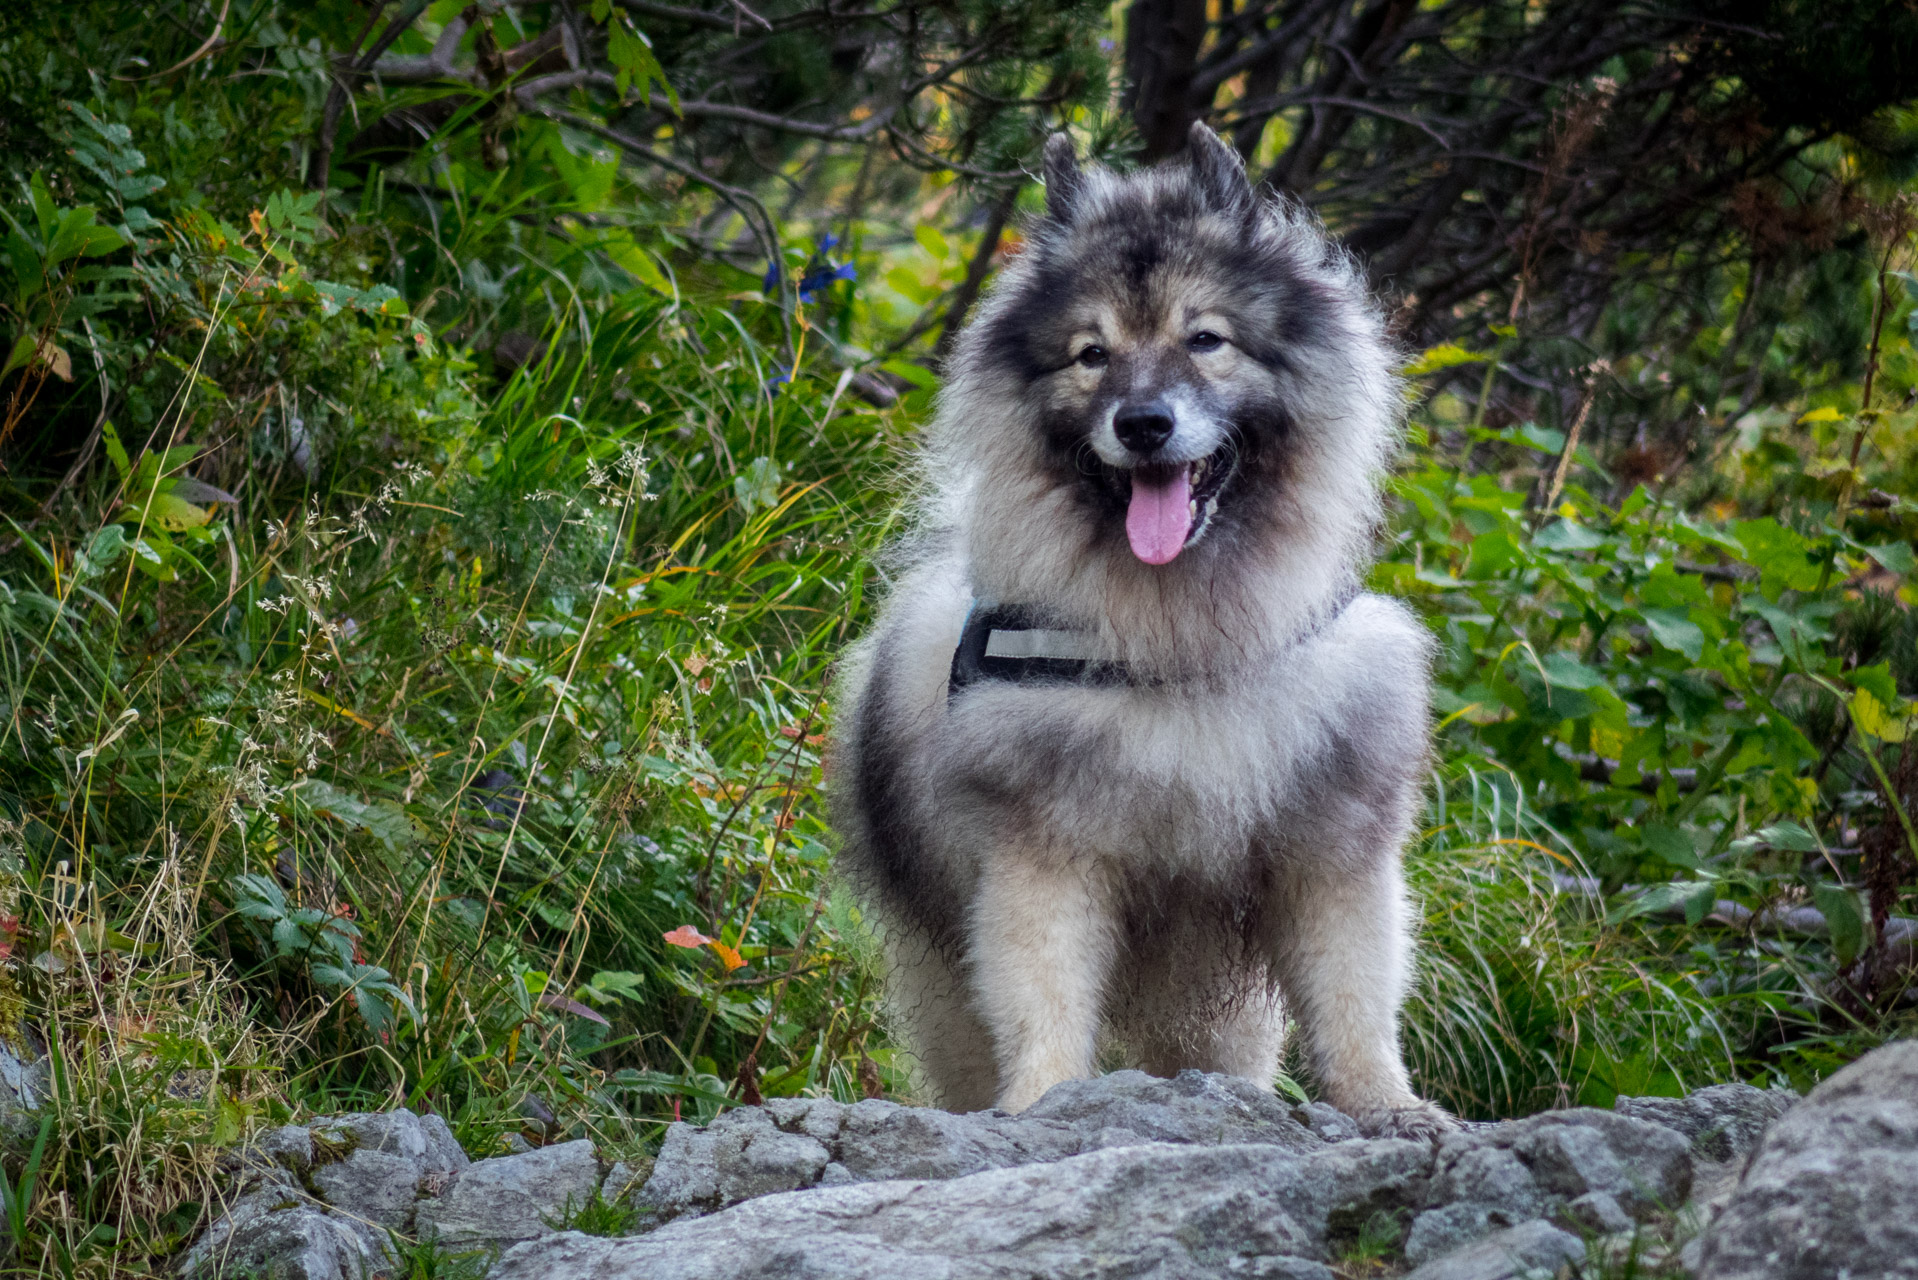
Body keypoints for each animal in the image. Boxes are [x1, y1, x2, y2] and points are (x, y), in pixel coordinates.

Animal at [832, 124, 1442, 1136]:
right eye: (1091, 354)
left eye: (1206, 340)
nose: (1145, 422)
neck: (1177, 643)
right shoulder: (1043, 850)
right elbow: (1041, 993)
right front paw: (1041, 1101)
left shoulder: (1332, 848)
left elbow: (1357, 997)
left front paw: (1386, 1107)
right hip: (944, 971)